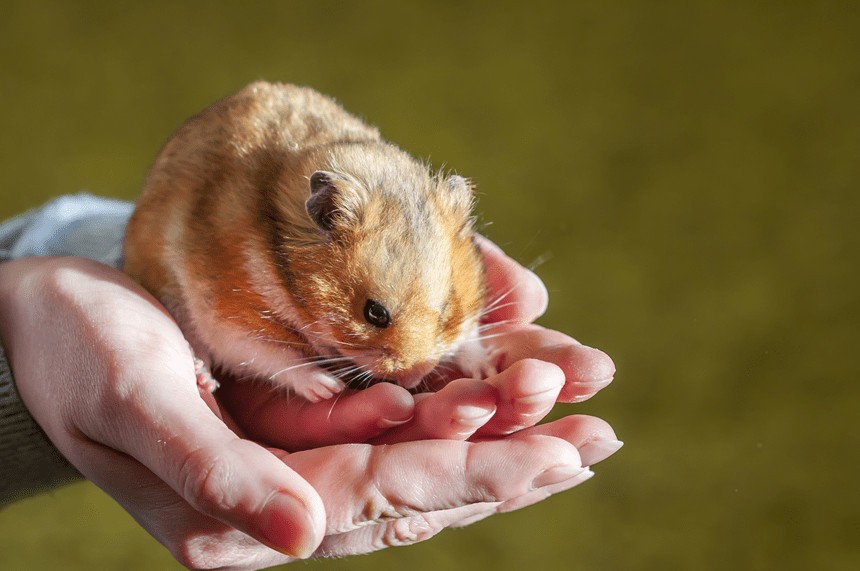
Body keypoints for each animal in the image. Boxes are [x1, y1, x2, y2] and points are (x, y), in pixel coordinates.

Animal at [124, 81, 494, 402]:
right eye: (374, 313)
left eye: (446, 309)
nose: (413, 377)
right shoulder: (224, 315)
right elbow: (269, 355)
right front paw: (327, 388)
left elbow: (470, 333)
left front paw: (486, 369)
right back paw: (203, 375)